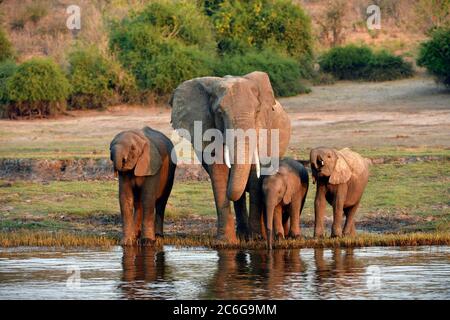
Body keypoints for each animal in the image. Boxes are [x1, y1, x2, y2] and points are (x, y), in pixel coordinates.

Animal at [170, 72, 292, 242]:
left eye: (257, 112)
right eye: (220, 113)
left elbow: (255, 174)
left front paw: (256, 239)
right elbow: (218, 170)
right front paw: (225, 241)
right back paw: (242, 235)